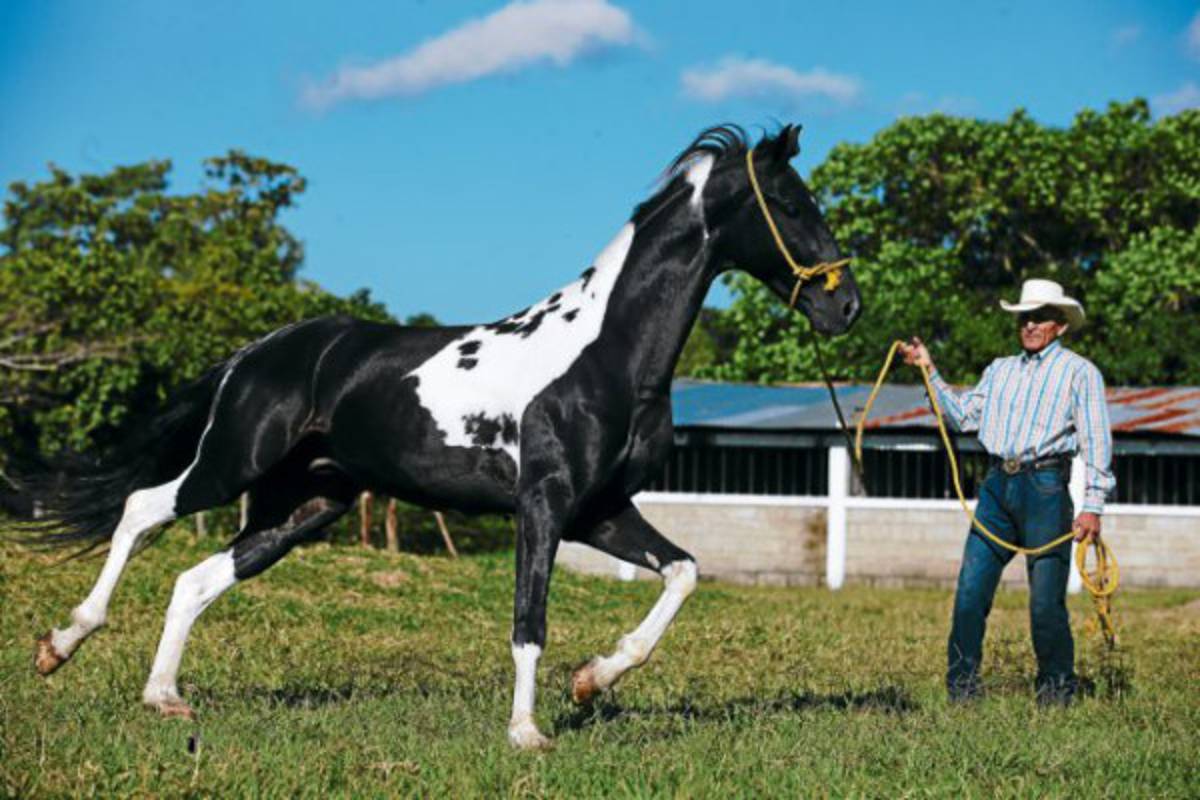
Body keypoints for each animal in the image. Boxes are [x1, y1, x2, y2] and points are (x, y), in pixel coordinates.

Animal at [24, 124, 861, 749]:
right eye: (790, 202)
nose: (845, 305)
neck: (606, 355)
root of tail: (257, 352)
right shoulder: (544, 506)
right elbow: (529, 620)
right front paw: (528, 732)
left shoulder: (600, 511)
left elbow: (683, 572)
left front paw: (593, 681)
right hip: (232, 463)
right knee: (140, 510)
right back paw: (61, 645)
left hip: (307, 505)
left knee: (194, 579)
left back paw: (165, 697)